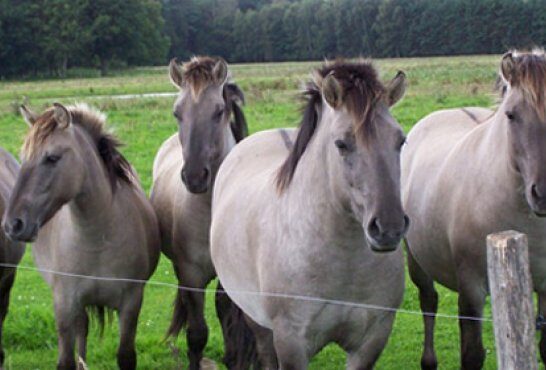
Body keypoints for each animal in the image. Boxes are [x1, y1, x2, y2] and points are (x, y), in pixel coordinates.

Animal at [2, 102, 159, 368]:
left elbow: (126, 356)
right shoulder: (65, 303)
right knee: (82, 331)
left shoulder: (131, 303)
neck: (96, 238)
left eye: (52, 158)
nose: (13, 224)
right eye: (23, 159)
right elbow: (66, 357)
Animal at [149, 56, 255, 368]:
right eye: (177, 112)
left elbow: (229, 325)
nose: (195, 176)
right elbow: (197, 336)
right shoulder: (191, 274)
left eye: (219, 111)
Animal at [210, 59, 406, 368]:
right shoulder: (292, 341)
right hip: (257, 320)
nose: (388, 229)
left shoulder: (371, 341)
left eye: (400, 140)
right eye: (341, 144)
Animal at [400, 49, 546, 370]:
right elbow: (472, 355)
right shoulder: (472, 288)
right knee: (428, 301)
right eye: (511, 115)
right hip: (415, 258)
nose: (544, 192)